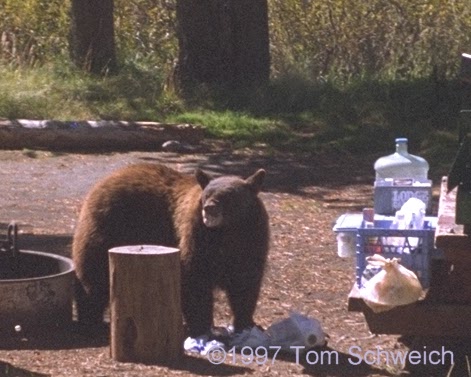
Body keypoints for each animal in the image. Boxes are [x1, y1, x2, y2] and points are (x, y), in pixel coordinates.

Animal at [71, 163, 270, 336]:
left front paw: (246, 323)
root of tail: (105, 180)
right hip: (107, 228)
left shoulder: (250, 243)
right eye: (207, 194)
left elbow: (246, 283)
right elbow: (194, 279)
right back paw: (90, 320)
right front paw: (202, 326)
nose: (209, 208)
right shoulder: (196, 239)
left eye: (229, 196)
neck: (227, 232)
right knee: (93, 275)